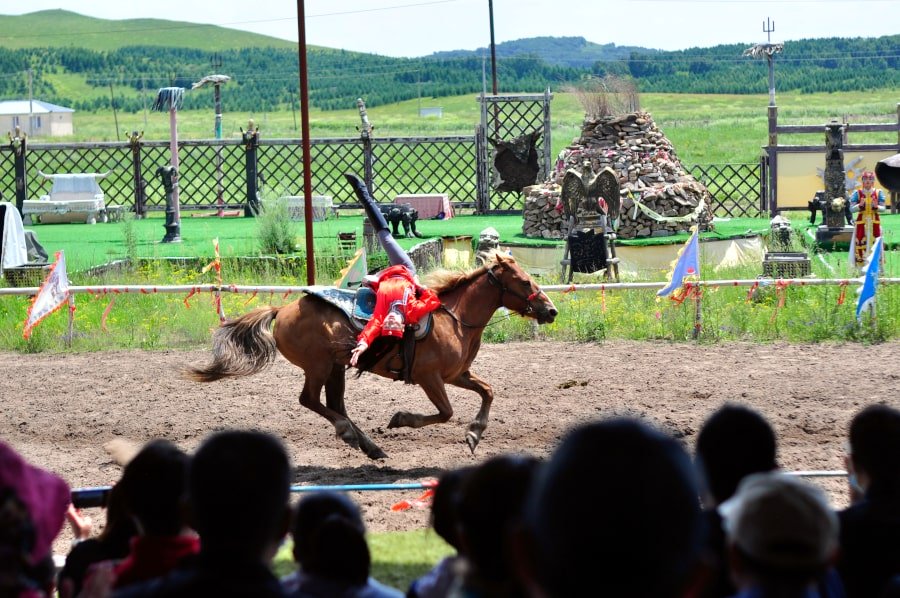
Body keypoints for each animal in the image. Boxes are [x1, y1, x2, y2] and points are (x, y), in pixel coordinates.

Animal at [185, 251, 556, 462]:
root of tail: (283, 309)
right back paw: (351, 435)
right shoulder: (430, 378)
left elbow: (488, 391)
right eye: (525, 281)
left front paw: (475, 434)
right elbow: (446, 412)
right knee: (311, 401)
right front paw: (402, 419)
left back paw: (370, 447)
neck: (454, 317)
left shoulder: (457, 375)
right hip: (319, 366)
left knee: (334, 404)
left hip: (336, 368)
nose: (551, 310)